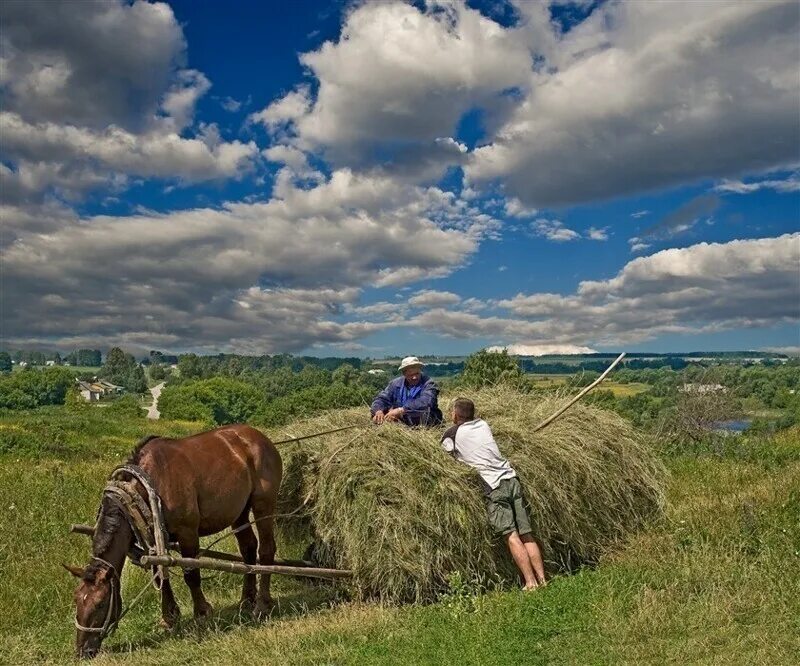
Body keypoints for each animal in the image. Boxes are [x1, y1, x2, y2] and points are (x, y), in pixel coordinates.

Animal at [63, 422, 282, 656]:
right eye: (76, 600)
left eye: (100, 604)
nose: (83, 651)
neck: (150, 483)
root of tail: (259, 437)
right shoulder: (155, 536)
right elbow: (160, 571)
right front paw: (169, 616)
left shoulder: (188, 532)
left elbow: (191, 574)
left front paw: (202, 613)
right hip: (238, 512)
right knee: (248, 548)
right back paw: (247, 599)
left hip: (263, 504)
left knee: (266, 550)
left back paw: (262, 604)